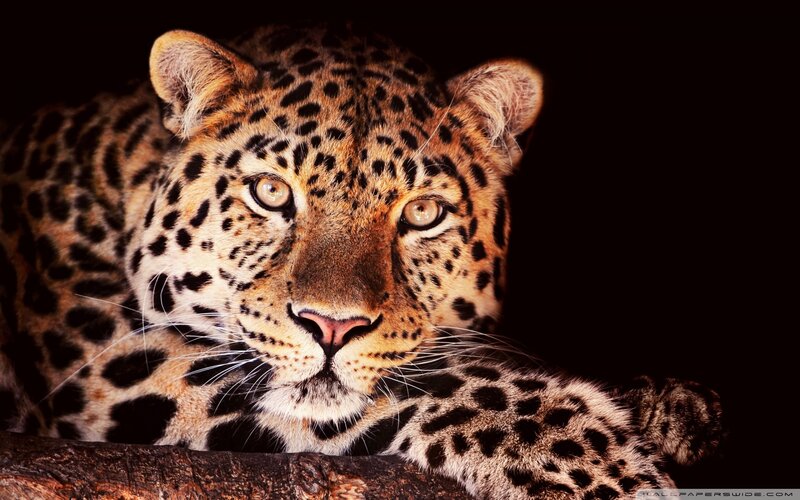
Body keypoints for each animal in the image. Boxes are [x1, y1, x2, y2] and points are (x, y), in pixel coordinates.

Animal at [0, 24, 722, 498]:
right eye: (271, 193)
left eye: (422, 212)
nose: (332, 327)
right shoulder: (112, 363)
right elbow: (424, 381)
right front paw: (584, 455)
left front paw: (672, 409)